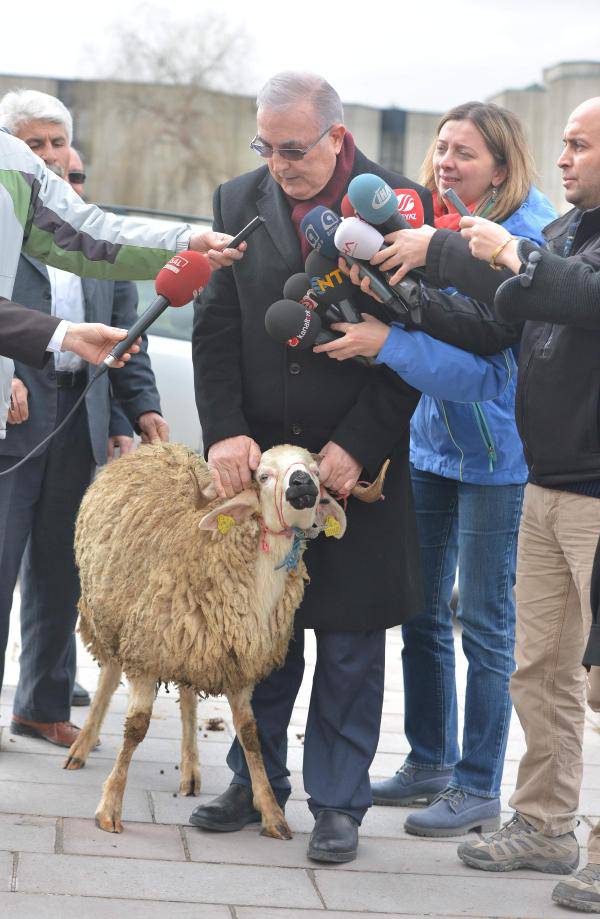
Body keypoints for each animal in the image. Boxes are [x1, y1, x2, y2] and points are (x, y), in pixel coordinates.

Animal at [63, 442, 347, 840]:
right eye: (263, 475)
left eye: (317, 471)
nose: (303, 482)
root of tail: (158, 444)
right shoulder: (146, 651)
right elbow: (135, 729)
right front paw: (110, 808)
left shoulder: (237, 662)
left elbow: (250, 734)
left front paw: (271, 812)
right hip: (112, 618)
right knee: (108, 675)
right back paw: (81, 747)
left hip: (189, 644)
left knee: (186, 697)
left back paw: (191, 770)